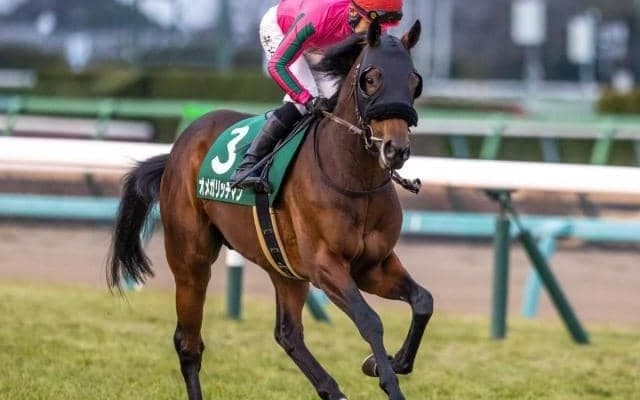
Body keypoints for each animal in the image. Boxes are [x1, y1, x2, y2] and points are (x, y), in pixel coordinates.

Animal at [107, 20, 433, 400]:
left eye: (414, 81)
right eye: (371, 79)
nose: (396, 150)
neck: (353, 177)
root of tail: (177, 149)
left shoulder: (373, 265)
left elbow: (423, 301)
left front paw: (389, 363)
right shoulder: (326, 265)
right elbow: (370, 320)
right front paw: (386, 377)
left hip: (284, 267)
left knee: (288, 334)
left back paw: (331, 390)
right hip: (190, 260)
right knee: (188, 342)